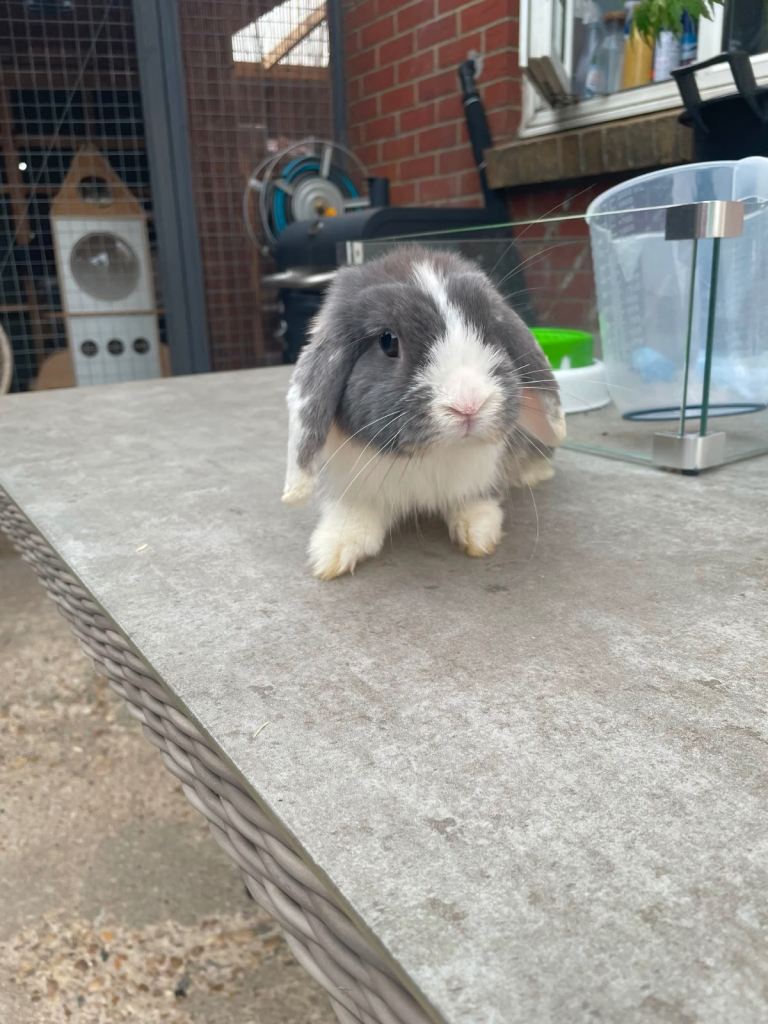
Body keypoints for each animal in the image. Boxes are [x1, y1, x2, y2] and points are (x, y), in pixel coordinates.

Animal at [282, 245, 565, 580]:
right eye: (388, 341)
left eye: (490, 332)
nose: (468, 404)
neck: (427, 456)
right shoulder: (354, 487)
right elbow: (353, 517)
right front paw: (331, 555)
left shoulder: (479, 478)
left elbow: (475, 502)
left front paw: (478, 533)